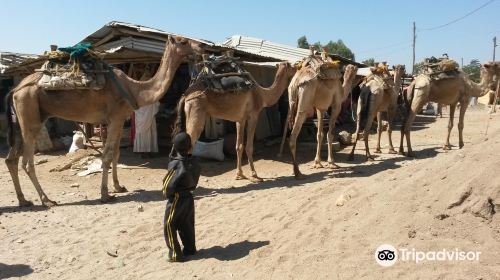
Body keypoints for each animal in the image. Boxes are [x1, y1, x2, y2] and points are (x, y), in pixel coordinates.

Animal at [5, 35, 201, 206]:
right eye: (183, 41)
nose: (200, 47)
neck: (135, 89)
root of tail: (15, 89)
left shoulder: (117, 120)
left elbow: (116, 154)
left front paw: (118, 186)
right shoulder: (116, 117)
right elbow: (107, 156)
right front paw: (105, 194)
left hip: (25, 120)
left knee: (11, 159)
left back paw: (23, 200)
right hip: (29, 114)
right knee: (26, 162)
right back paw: (46, 200)